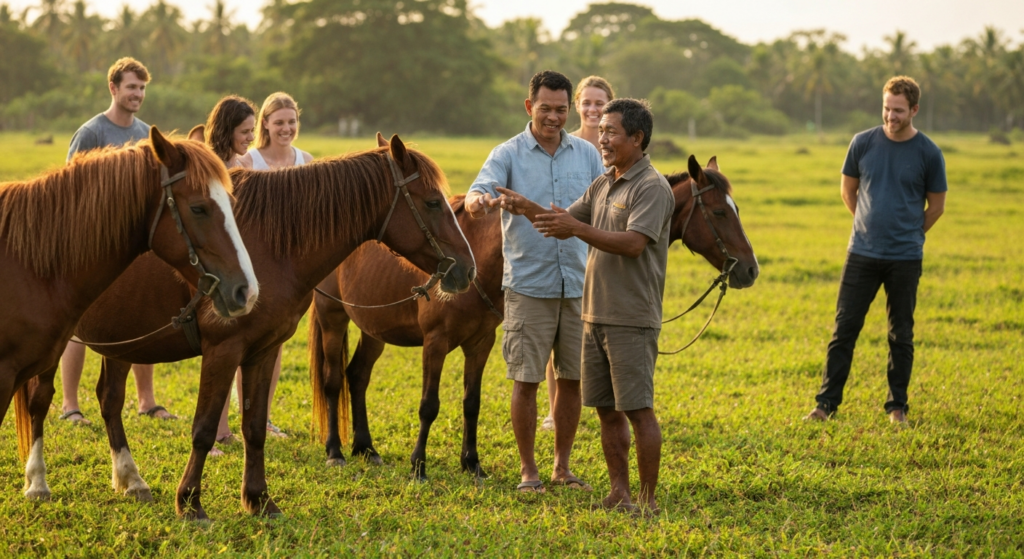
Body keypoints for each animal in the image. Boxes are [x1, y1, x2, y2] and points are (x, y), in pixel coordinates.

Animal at [307, 154, 758, 480]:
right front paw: (419, 466)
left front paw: (472, 463)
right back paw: (336, 451)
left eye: (735, 209)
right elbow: (429, 405)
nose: (750, 269)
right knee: (333, 381)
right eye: (720, 213)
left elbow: (471, 402)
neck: (479, 260)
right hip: (333, 317)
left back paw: (366, 448)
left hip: (374, 329)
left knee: (357, 376)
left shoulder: (481, 343)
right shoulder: (434, 343)